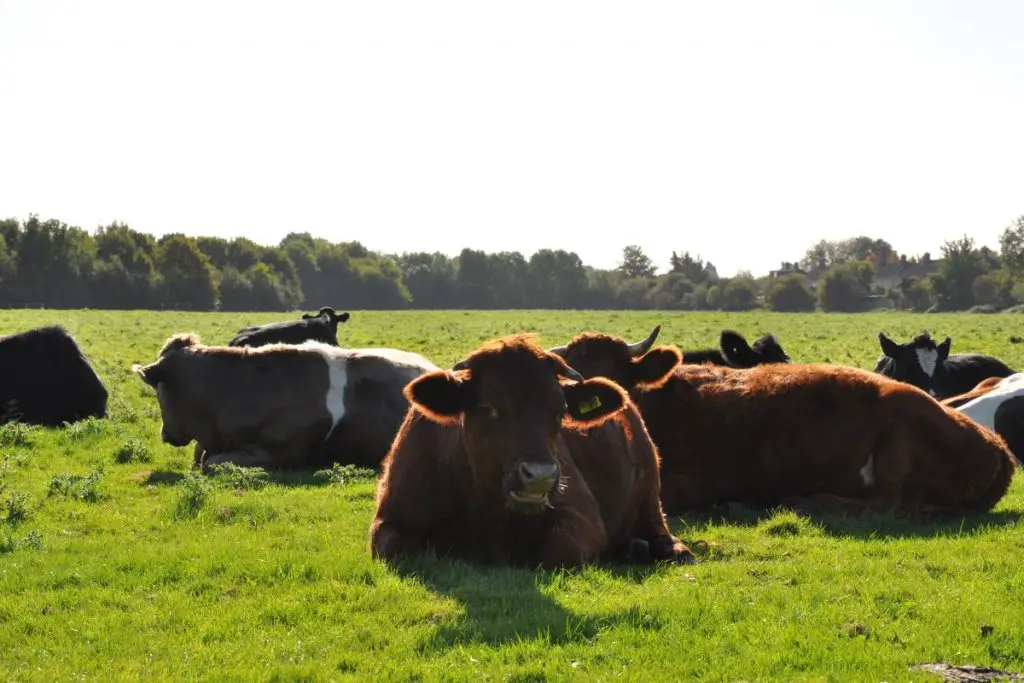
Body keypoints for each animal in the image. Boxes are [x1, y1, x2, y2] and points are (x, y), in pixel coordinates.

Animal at [368, 333, 696, 569]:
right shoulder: (389, 520)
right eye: (489, 407)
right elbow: (394, 547)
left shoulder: (581, 519)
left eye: (560, 410)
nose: (540, 476)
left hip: (650, 491)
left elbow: (558, 550)